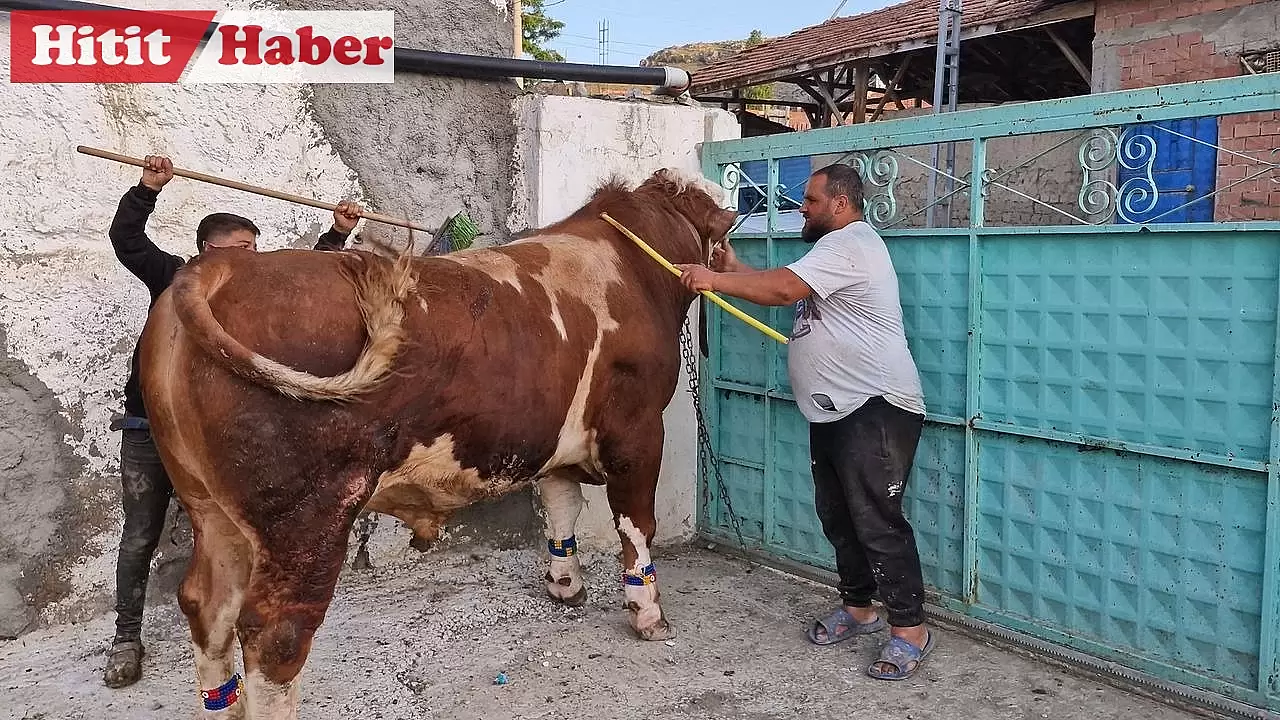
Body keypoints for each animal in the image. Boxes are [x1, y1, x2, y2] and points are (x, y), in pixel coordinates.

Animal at [135, 167, 737, 712]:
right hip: (306, 519)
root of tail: (223, 265)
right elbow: (636, 525)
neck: (631, 266)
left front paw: (565, 584)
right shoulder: (639, 432)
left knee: (207, 607)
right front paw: (648, 613)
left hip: (211, 510)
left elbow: (562, 505)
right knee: (274, 635)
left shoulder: (557, 438)